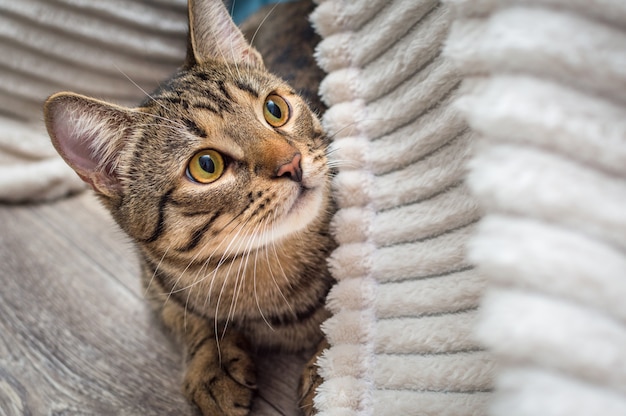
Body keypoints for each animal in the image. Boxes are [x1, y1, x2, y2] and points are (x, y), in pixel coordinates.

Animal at [42, 1, 336, 414]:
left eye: (274, 109)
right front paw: (211, 364)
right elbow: (185, 315)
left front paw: (331, 372)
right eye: (206, 165)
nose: (291, 163)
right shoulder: (153, 281)